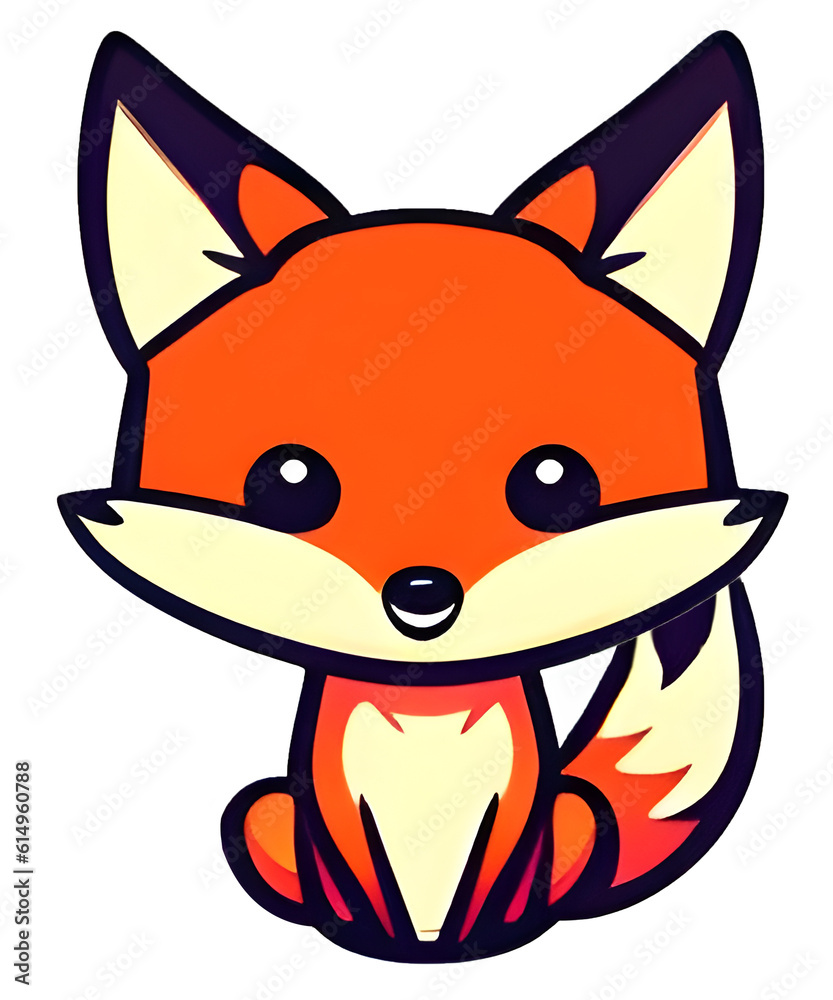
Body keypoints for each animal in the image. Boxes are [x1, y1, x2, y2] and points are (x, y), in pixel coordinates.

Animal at [60, 31, 785, 961]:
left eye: (554, 481)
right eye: (288, 481)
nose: (422, 597)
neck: (426, 705)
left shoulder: (514, 810)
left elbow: (486, 878)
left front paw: (470, 935)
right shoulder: (330, 805)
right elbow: (360, 872)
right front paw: (376, 931)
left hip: (574, 814)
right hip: (263, 812)